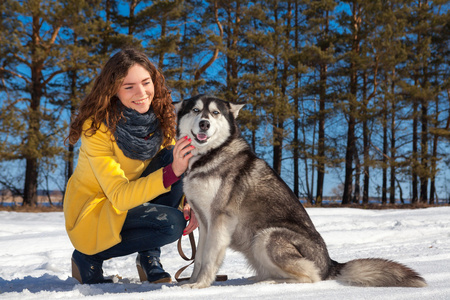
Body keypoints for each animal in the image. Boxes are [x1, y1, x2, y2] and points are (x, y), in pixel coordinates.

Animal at [174, 95, 428, 290]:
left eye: (215, 113)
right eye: (196, 110)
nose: (204, 124)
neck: (208, 156)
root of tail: (330, 264)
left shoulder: (219, 220)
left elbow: (209, 260)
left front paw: (201, 285)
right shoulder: (204, 223)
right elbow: (199, 259)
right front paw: (190, 282)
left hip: (267, 236)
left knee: (311, 276)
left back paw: (270, 283)